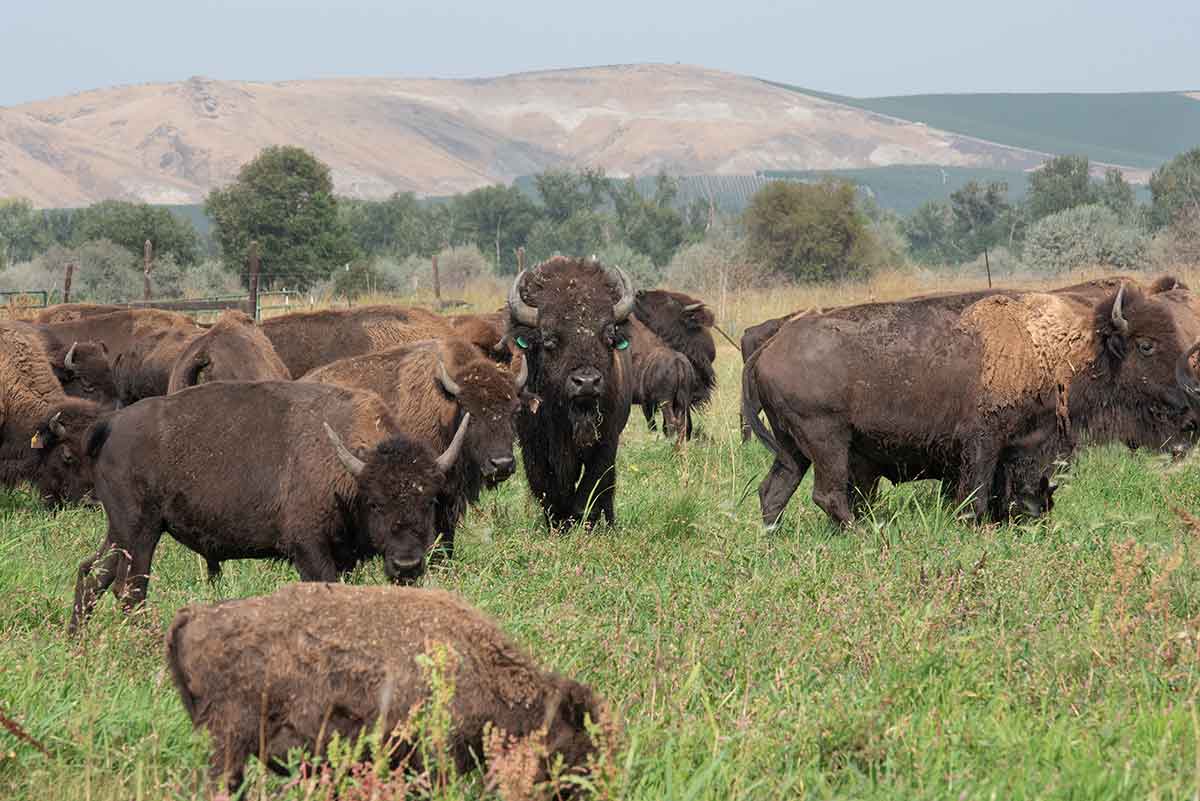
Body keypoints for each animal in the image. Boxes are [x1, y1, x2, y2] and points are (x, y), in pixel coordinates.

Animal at [506, 256, 638, 527]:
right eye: (549, 339)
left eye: (609, 336)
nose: (586, 382)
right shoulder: (534, 447)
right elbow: (549, 490)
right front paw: (560, 523)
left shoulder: (606, 442)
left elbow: (591, 487)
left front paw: (583, 521)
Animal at [744, 284, 1200, 527]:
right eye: (1146, 345)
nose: (1190, 409)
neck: (1056, 351)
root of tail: (771, 344)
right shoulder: (982, 443)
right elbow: (976, 497)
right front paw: (974, 527)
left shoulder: (1023, 449)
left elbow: (1010, 493)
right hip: (827, 441)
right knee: (829, 495)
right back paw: (868, 533)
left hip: (793, 449)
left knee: (774, 491)